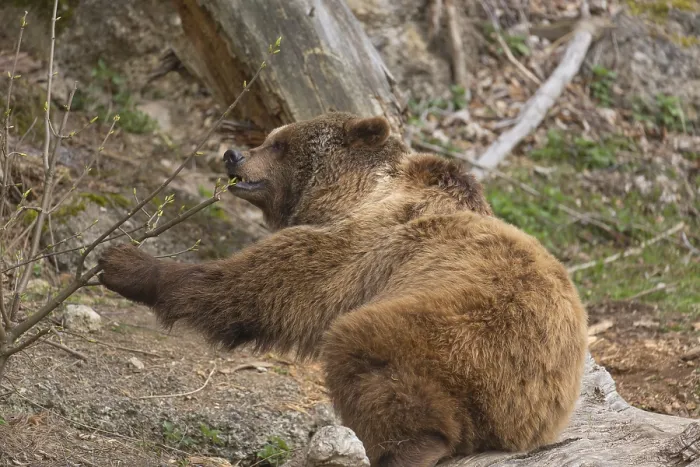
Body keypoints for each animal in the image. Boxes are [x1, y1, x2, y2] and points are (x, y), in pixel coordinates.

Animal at [98, 112, 588, 467]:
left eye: (279, 142)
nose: (232, 154)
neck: (353, 194)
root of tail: (533, 419)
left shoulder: (365, 244)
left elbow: (266, 283)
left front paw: (122, 263)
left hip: (459, 334)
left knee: (362, 351)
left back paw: (406, 448)